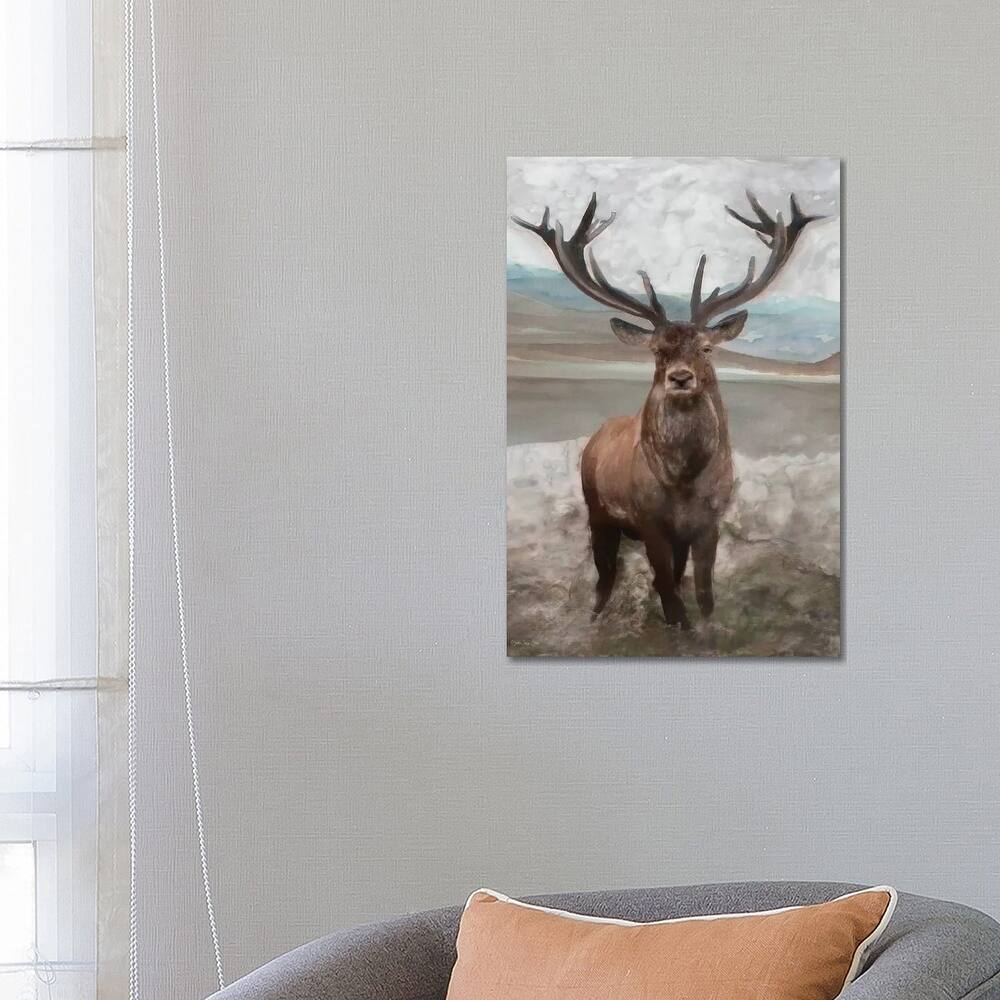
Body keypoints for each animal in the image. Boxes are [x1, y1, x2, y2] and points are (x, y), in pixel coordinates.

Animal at [512, 191, 822, 631]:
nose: (680, 377)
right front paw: (678, 628)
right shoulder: (650, 522)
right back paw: (594, 619)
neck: (684, 482)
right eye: (657, 350)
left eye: (706, 348)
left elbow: (703, 593)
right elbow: (671, 599)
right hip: (598, 511)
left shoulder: (709, 523)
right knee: (605, 577)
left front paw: (705, 627)